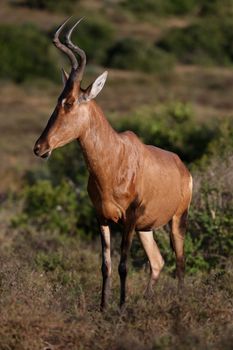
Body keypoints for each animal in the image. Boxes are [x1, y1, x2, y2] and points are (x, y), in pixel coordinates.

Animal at [33, 18, 192, 308]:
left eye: (70, 102)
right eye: (57, 100)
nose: (40, 148)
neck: (116, 158)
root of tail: (182, 167)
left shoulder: (129, 220)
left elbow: (123, 265)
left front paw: (120, 307)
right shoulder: (102, 217)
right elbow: (105, 265)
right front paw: (104, 307)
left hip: (178, 219)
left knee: (180, 261)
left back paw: (178, 303)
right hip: (146, 228)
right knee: (157, 262)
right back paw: (146, 301)